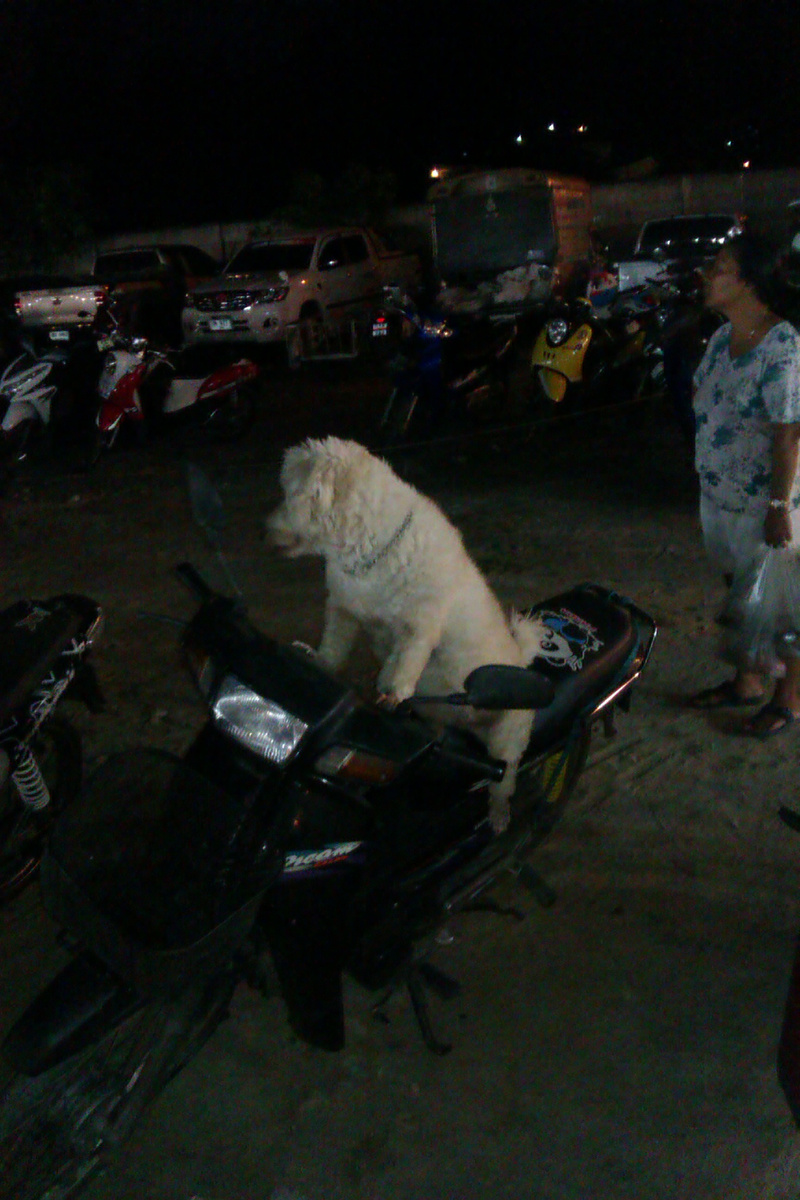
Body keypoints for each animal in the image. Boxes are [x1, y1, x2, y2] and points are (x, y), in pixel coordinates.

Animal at [264, 437, 546, 831]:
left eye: (289, 494)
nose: (262, 530)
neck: (371, 547)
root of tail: (522, 661)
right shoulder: (344, 609)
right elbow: (335, 646)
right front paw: (322, 660)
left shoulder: (420, 627)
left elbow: (408, 660)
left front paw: (395, 692)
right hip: (440, 720)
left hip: (507, 744)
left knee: (502, 785)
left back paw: (499, 817)